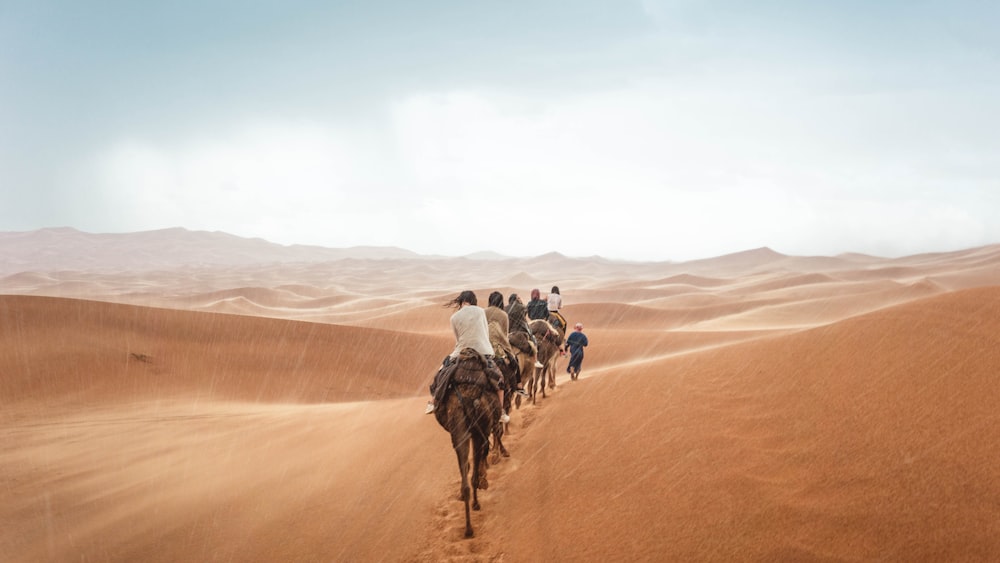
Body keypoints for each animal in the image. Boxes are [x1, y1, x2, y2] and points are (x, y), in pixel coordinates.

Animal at [434, 348, 504, 536]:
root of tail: (468, 397)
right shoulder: (481, 431)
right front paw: (484, 480)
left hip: (459, 428)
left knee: (465, 471)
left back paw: (468, 527)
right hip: (479, 429)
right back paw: (476, 503)